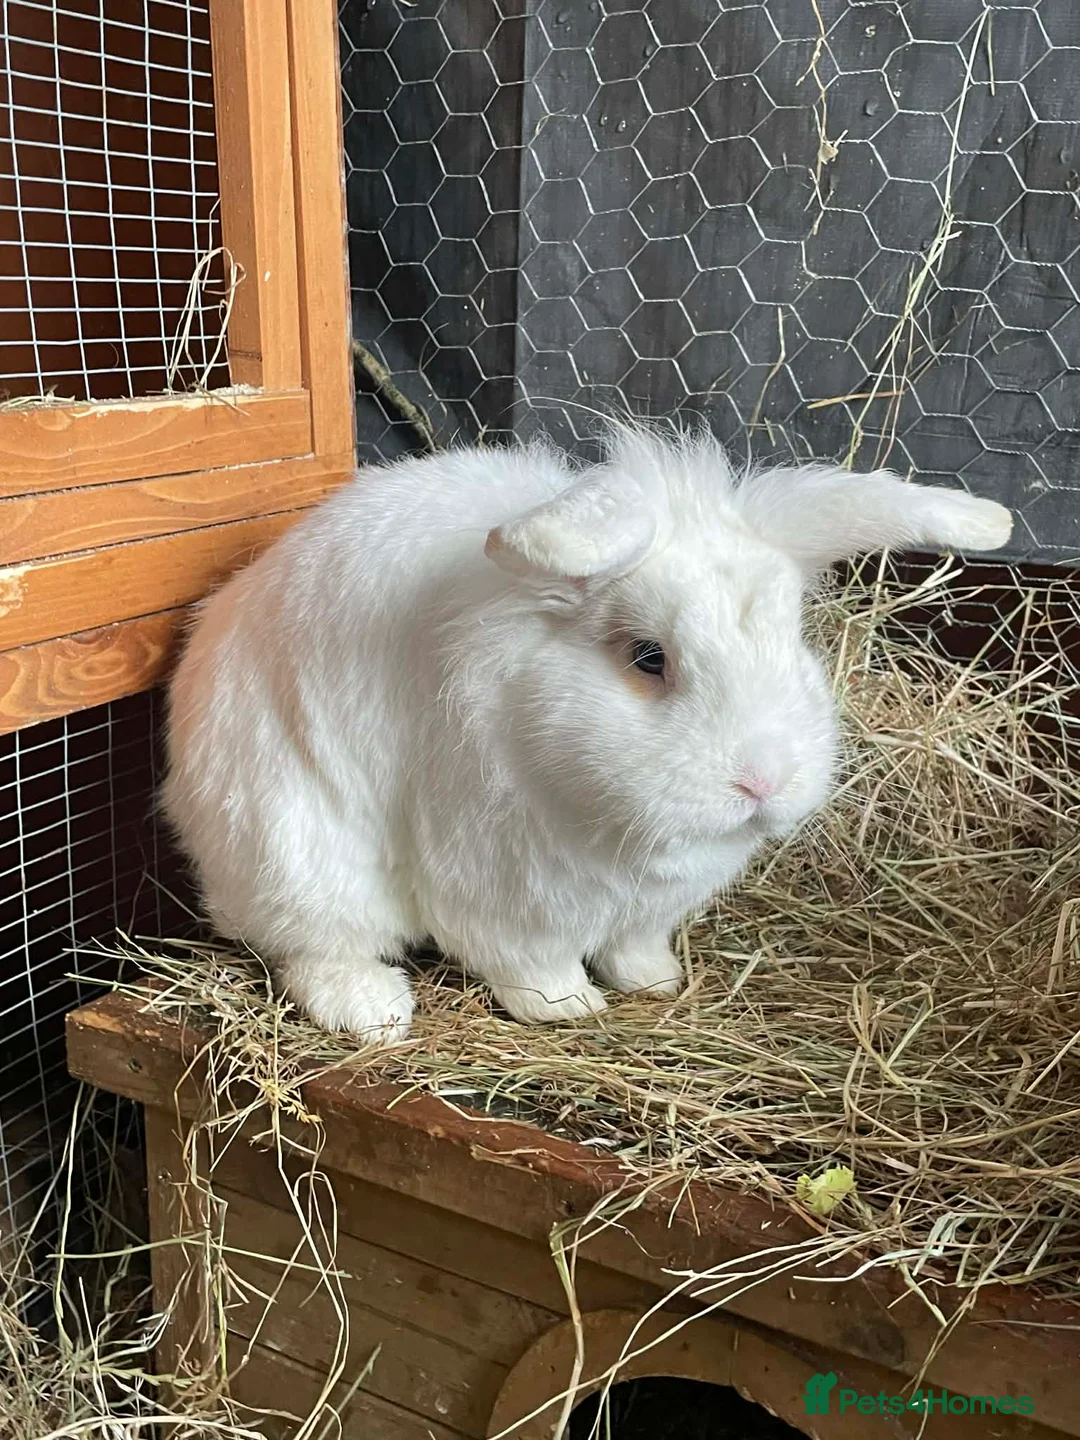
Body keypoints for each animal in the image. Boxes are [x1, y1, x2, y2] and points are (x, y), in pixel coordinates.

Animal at [162, 423, 1012, 1042]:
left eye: (792, 638)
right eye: (648, 657)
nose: (762, 780)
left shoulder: (648, 908)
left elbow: (635, 948)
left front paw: (657, 983)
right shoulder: (499, 885)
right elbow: (527, 962)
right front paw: (568, 1006)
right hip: (296, 853)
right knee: (307, 945)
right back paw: (374, 1009)